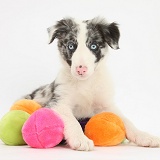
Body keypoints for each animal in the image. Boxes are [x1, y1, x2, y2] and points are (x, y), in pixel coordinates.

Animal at [24, 16, 160, 151]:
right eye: (71, 46)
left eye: (94, 46)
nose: (81, 69)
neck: (86, 83)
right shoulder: (58, 102)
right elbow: (72, 120)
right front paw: (80, 139)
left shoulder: (106, 105)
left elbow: (127, 121)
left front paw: (145, 136)